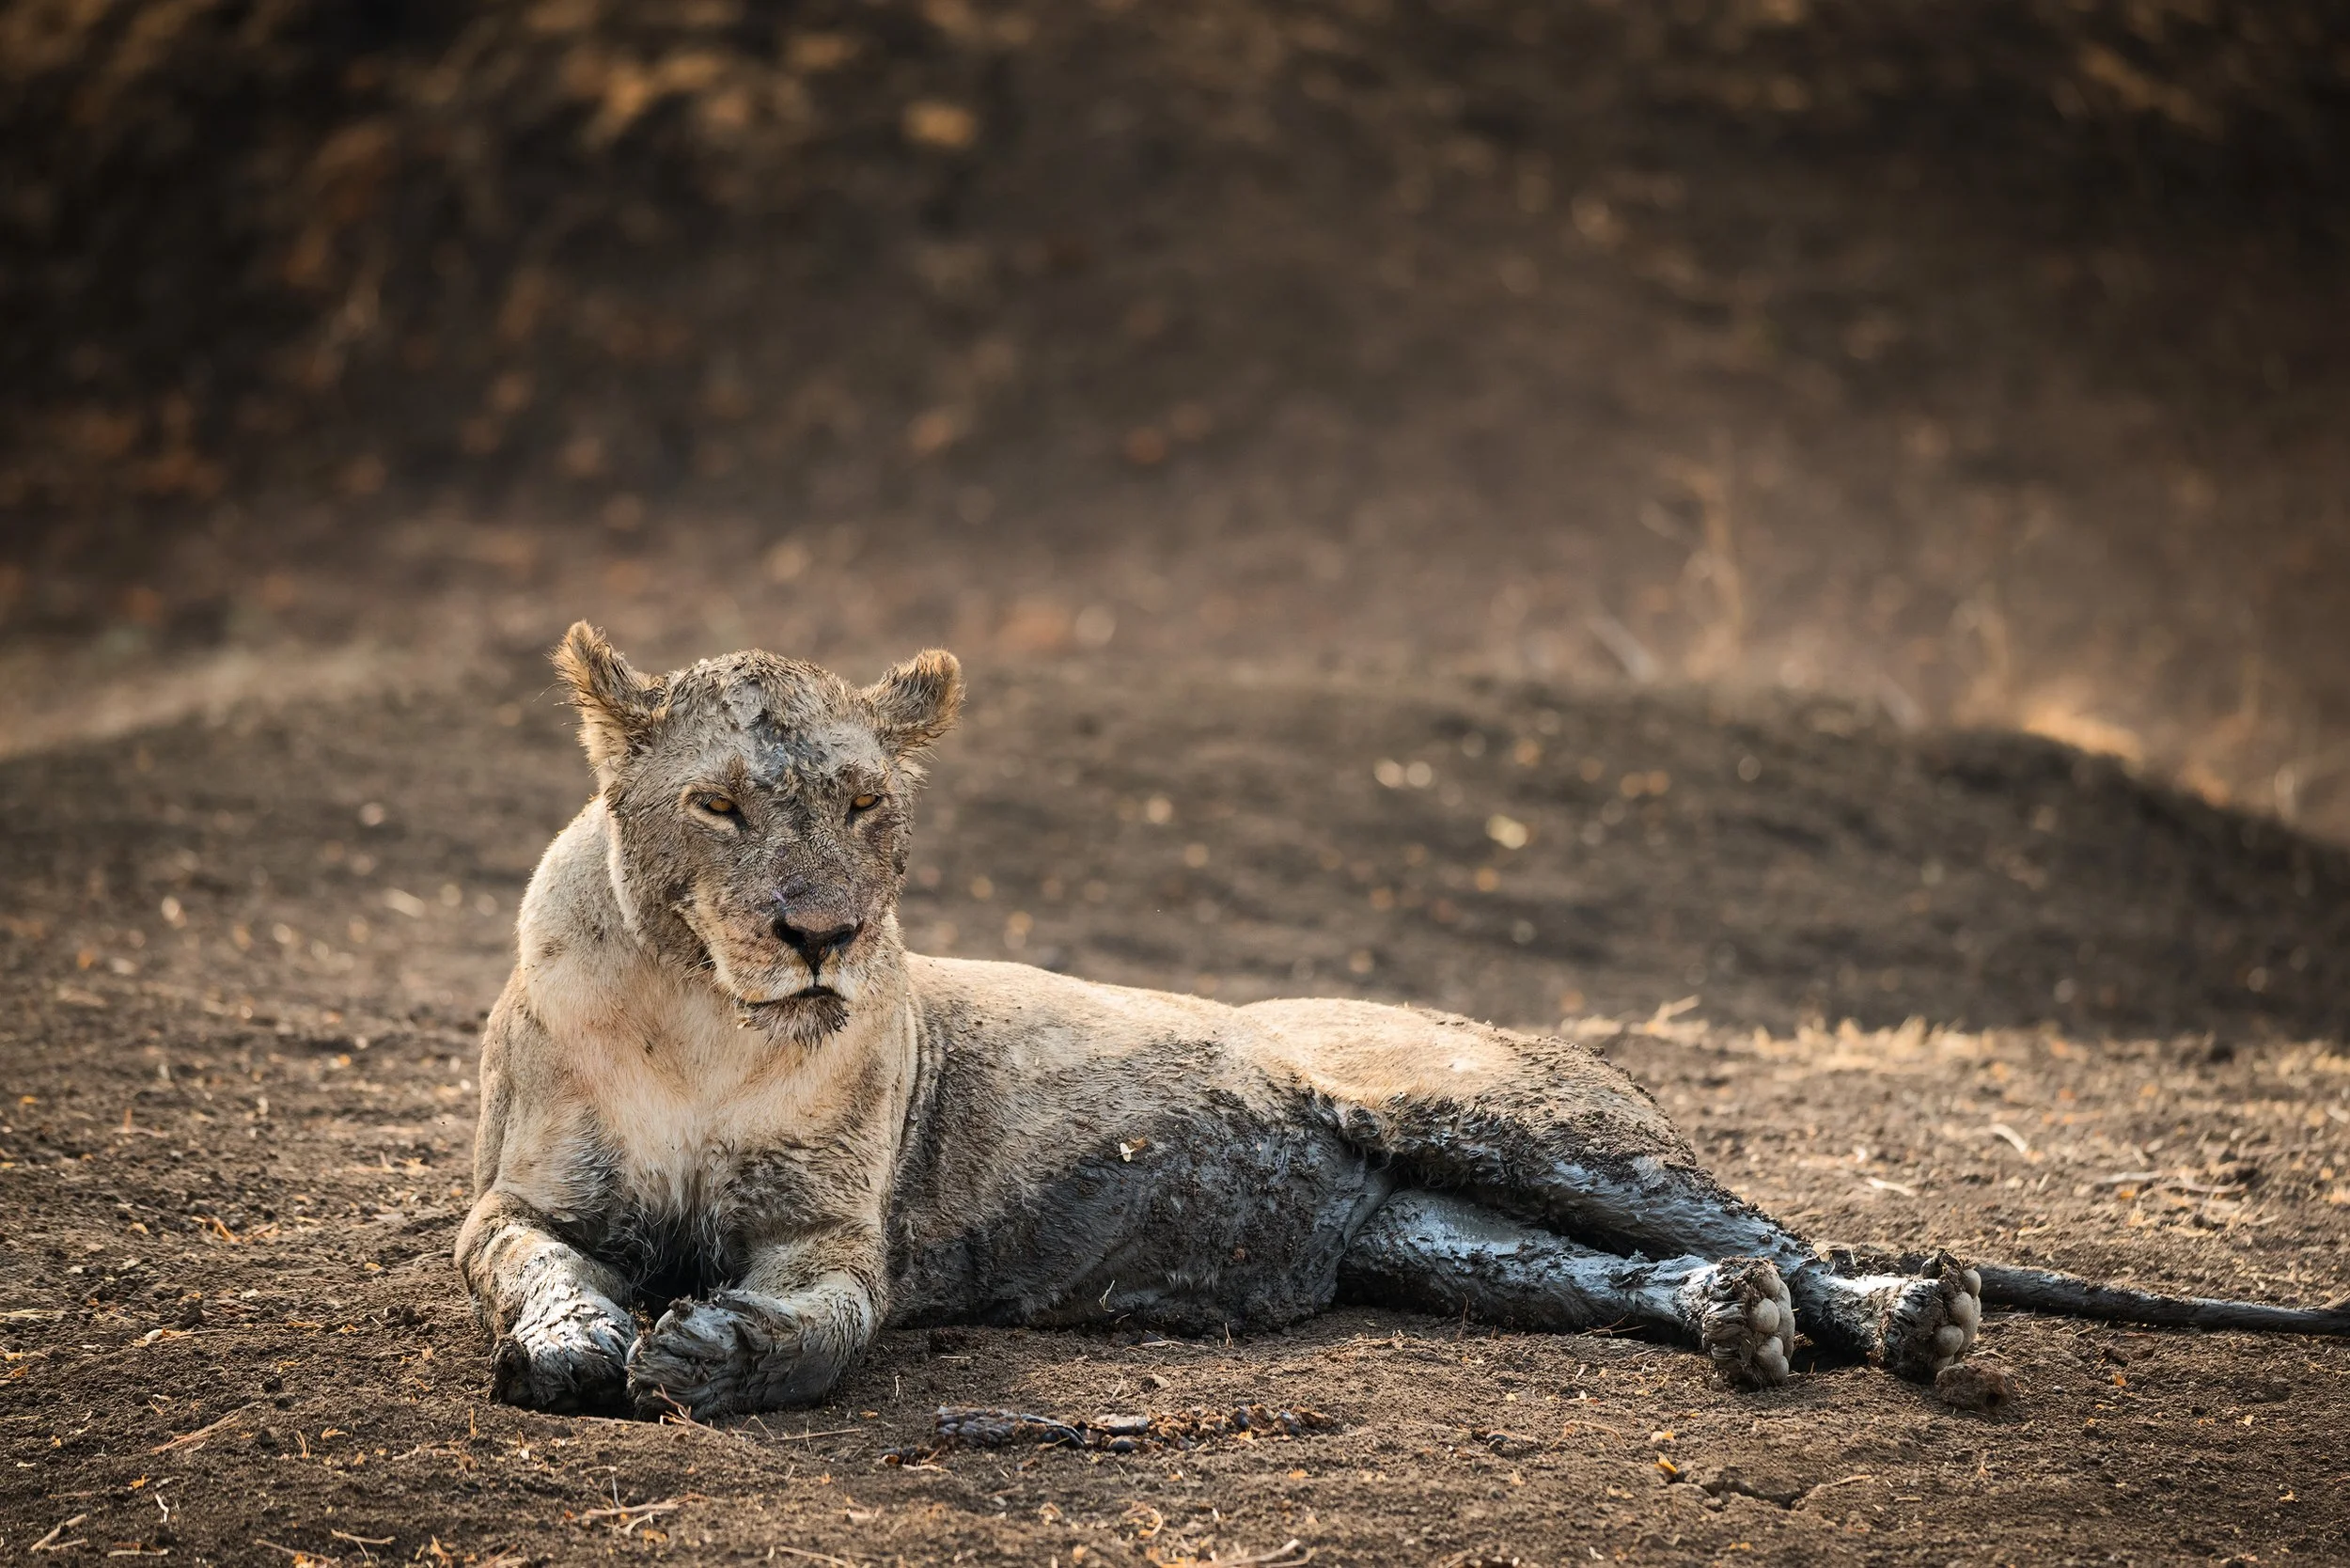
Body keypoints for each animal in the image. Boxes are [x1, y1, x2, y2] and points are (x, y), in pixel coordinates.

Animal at [456, 626, 2350, 1417]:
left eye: (861, 800)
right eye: (720, 803)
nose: (824, 930)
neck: (707, 1017)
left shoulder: (841, 1243)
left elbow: (821, 1327)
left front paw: (709, 1354)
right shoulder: (505, 1207)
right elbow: (547, 1269)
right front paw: (571, 1348)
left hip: (1513, 1121)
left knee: (1803, 1237)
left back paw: (1916, 1319)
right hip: (1443, 1239)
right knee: (1668, 1271)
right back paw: (1737, 1325)